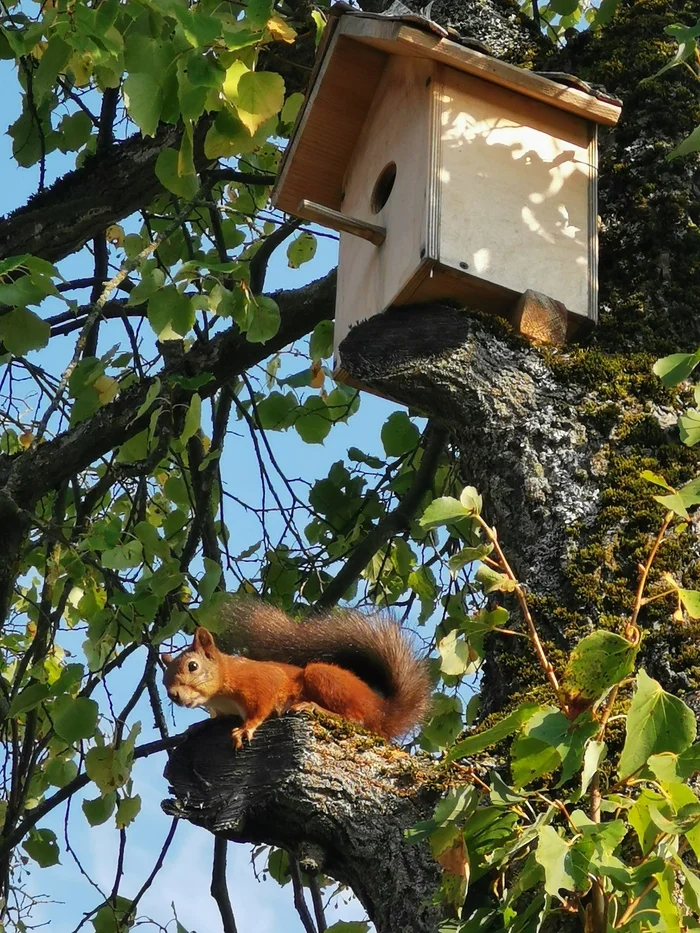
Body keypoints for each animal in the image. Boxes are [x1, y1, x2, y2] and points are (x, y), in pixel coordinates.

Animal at [161, 596, 430, 748]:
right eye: (164, 681)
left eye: (192, 666)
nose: (174, 695)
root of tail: (382, 711)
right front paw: (197, 727)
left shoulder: (261, 681)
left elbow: (260, 707)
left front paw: (245, 728)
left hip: (322, 677)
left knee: (356, 719)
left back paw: (313, 707)